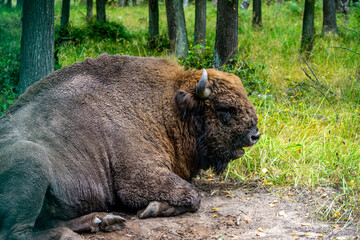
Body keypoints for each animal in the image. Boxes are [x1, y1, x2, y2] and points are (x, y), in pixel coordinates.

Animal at [0, 54, 258, 240]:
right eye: (224, 109)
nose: (255, 135)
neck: (166, 108)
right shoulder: (137, 179)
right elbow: (193, 197)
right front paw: (151, 209)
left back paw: (101, 221)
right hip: (33, 161)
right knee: (17, 232)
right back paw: (72, 234)